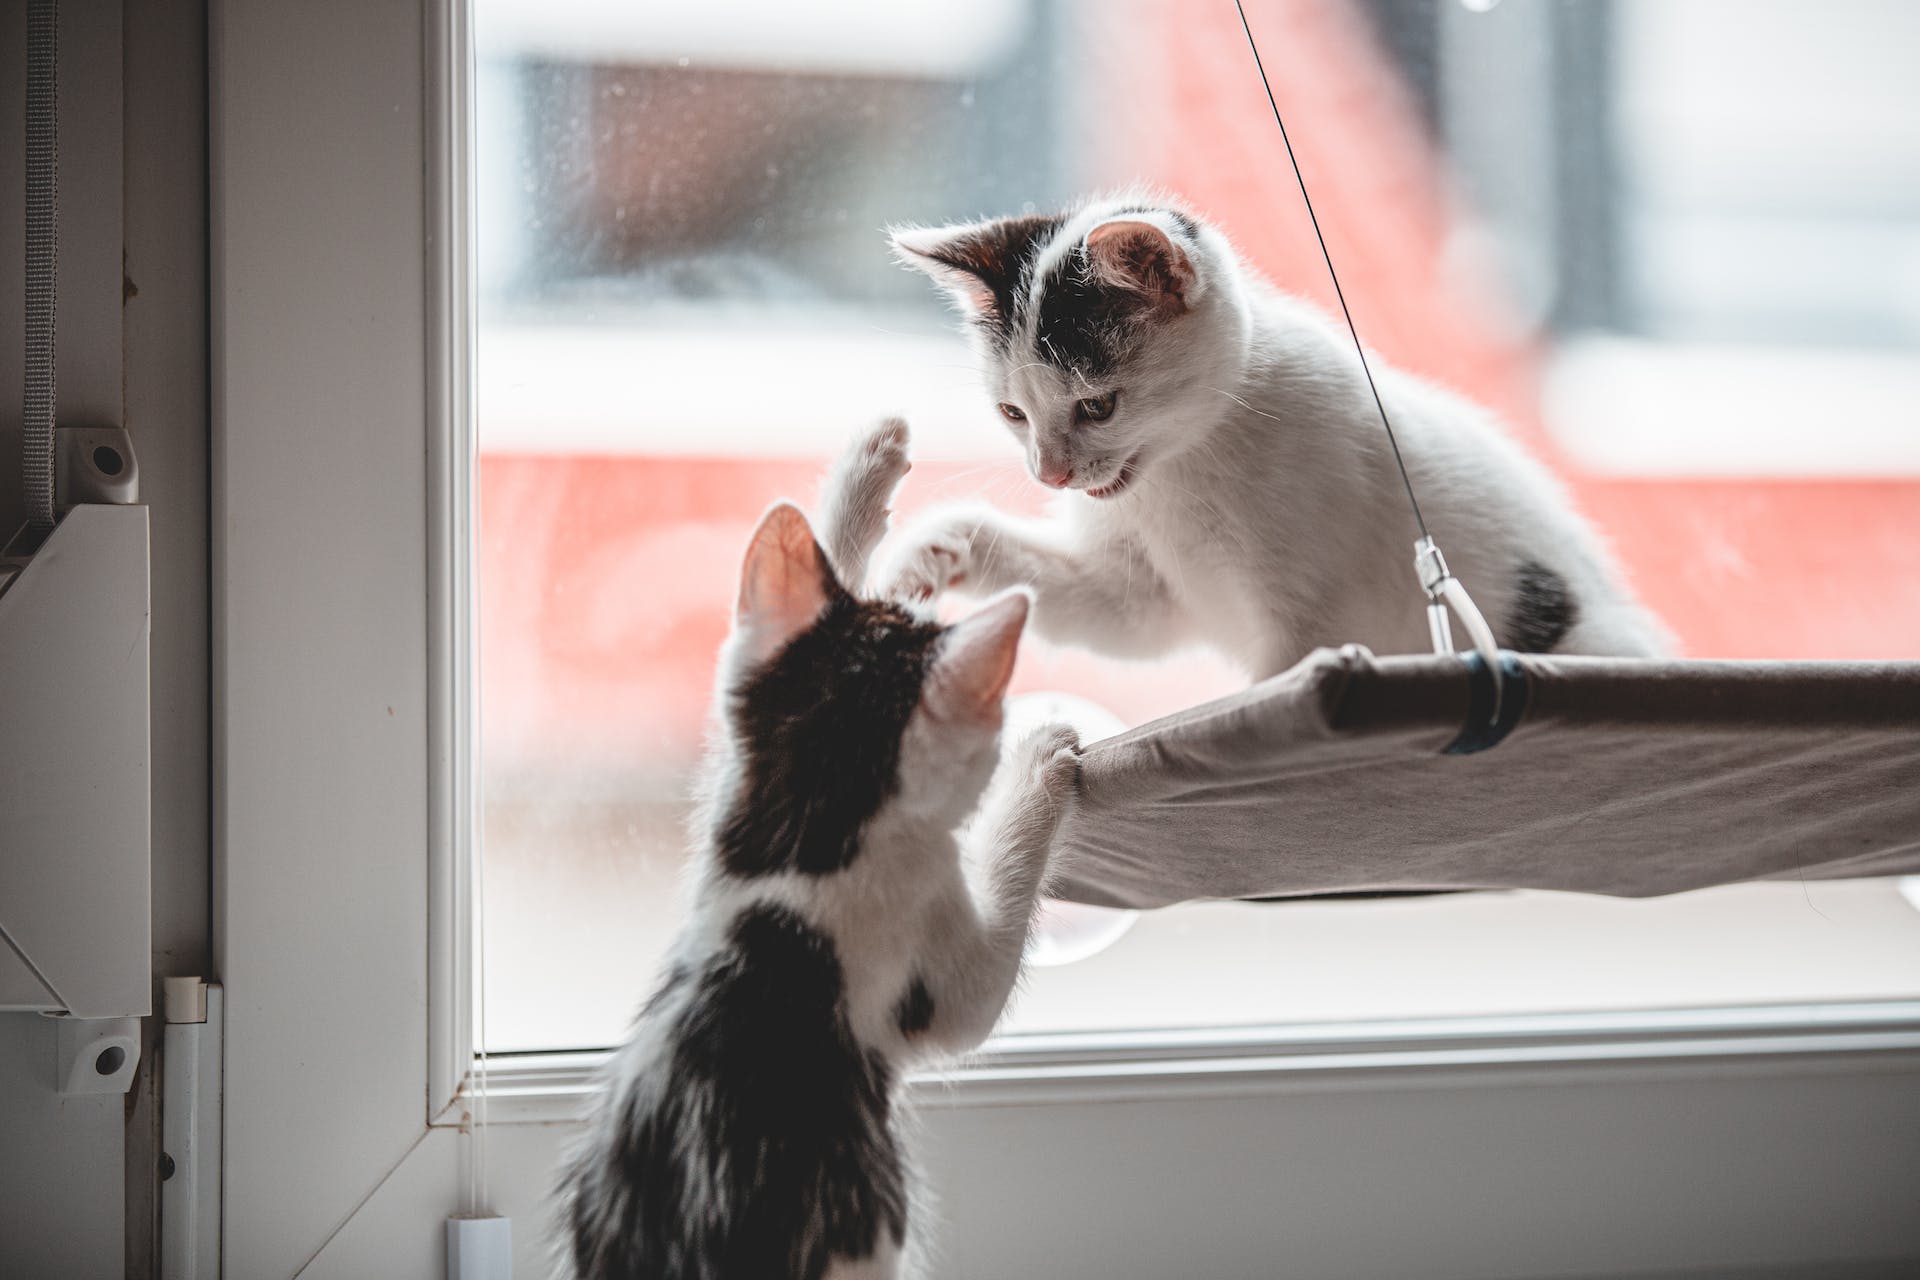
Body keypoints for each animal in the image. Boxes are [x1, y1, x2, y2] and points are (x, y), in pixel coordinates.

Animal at [560, 422, 1090, 1280]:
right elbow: (982, 983)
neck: (808, 844)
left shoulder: (733, 786)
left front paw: (867, 475)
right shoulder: (928, 955)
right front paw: (1040, 760)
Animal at [875, 192, 1666, 671]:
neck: (1184, 467)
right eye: (1012, 414)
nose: (1050, 473)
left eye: (1097, 407)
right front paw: (928, 554)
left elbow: (1279, 678)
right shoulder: (1138, 593)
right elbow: (1109, 614)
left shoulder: (1310, 619)